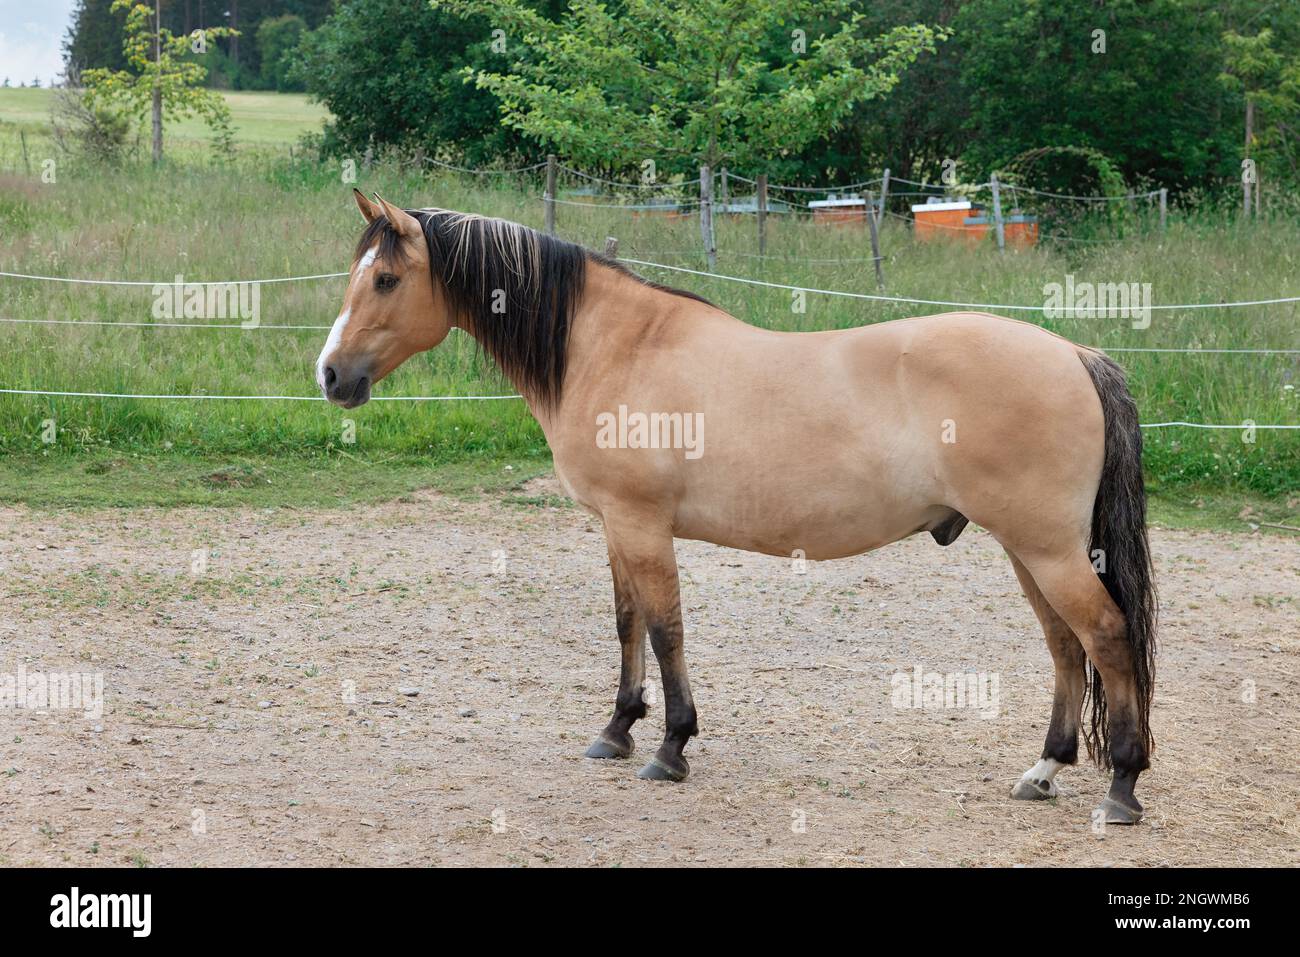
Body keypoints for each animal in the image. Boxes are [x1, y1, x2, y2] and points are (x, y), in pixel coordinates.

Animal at [314, 191, 1159, 826]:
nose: (329, 376)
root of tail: (1075, 354)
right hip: (1027, 548)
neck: (618, 347)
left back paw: (1121, 787)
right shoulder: (616, 527)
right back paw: (1043, 769)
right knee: (1064, 645)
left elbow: (665, 630)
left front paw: (670, 748)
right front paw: (617, 730)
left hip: (1046, 547)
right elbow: (627, 624)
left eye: (385, 279)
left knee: (1107, 636)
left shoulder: (643, 525)